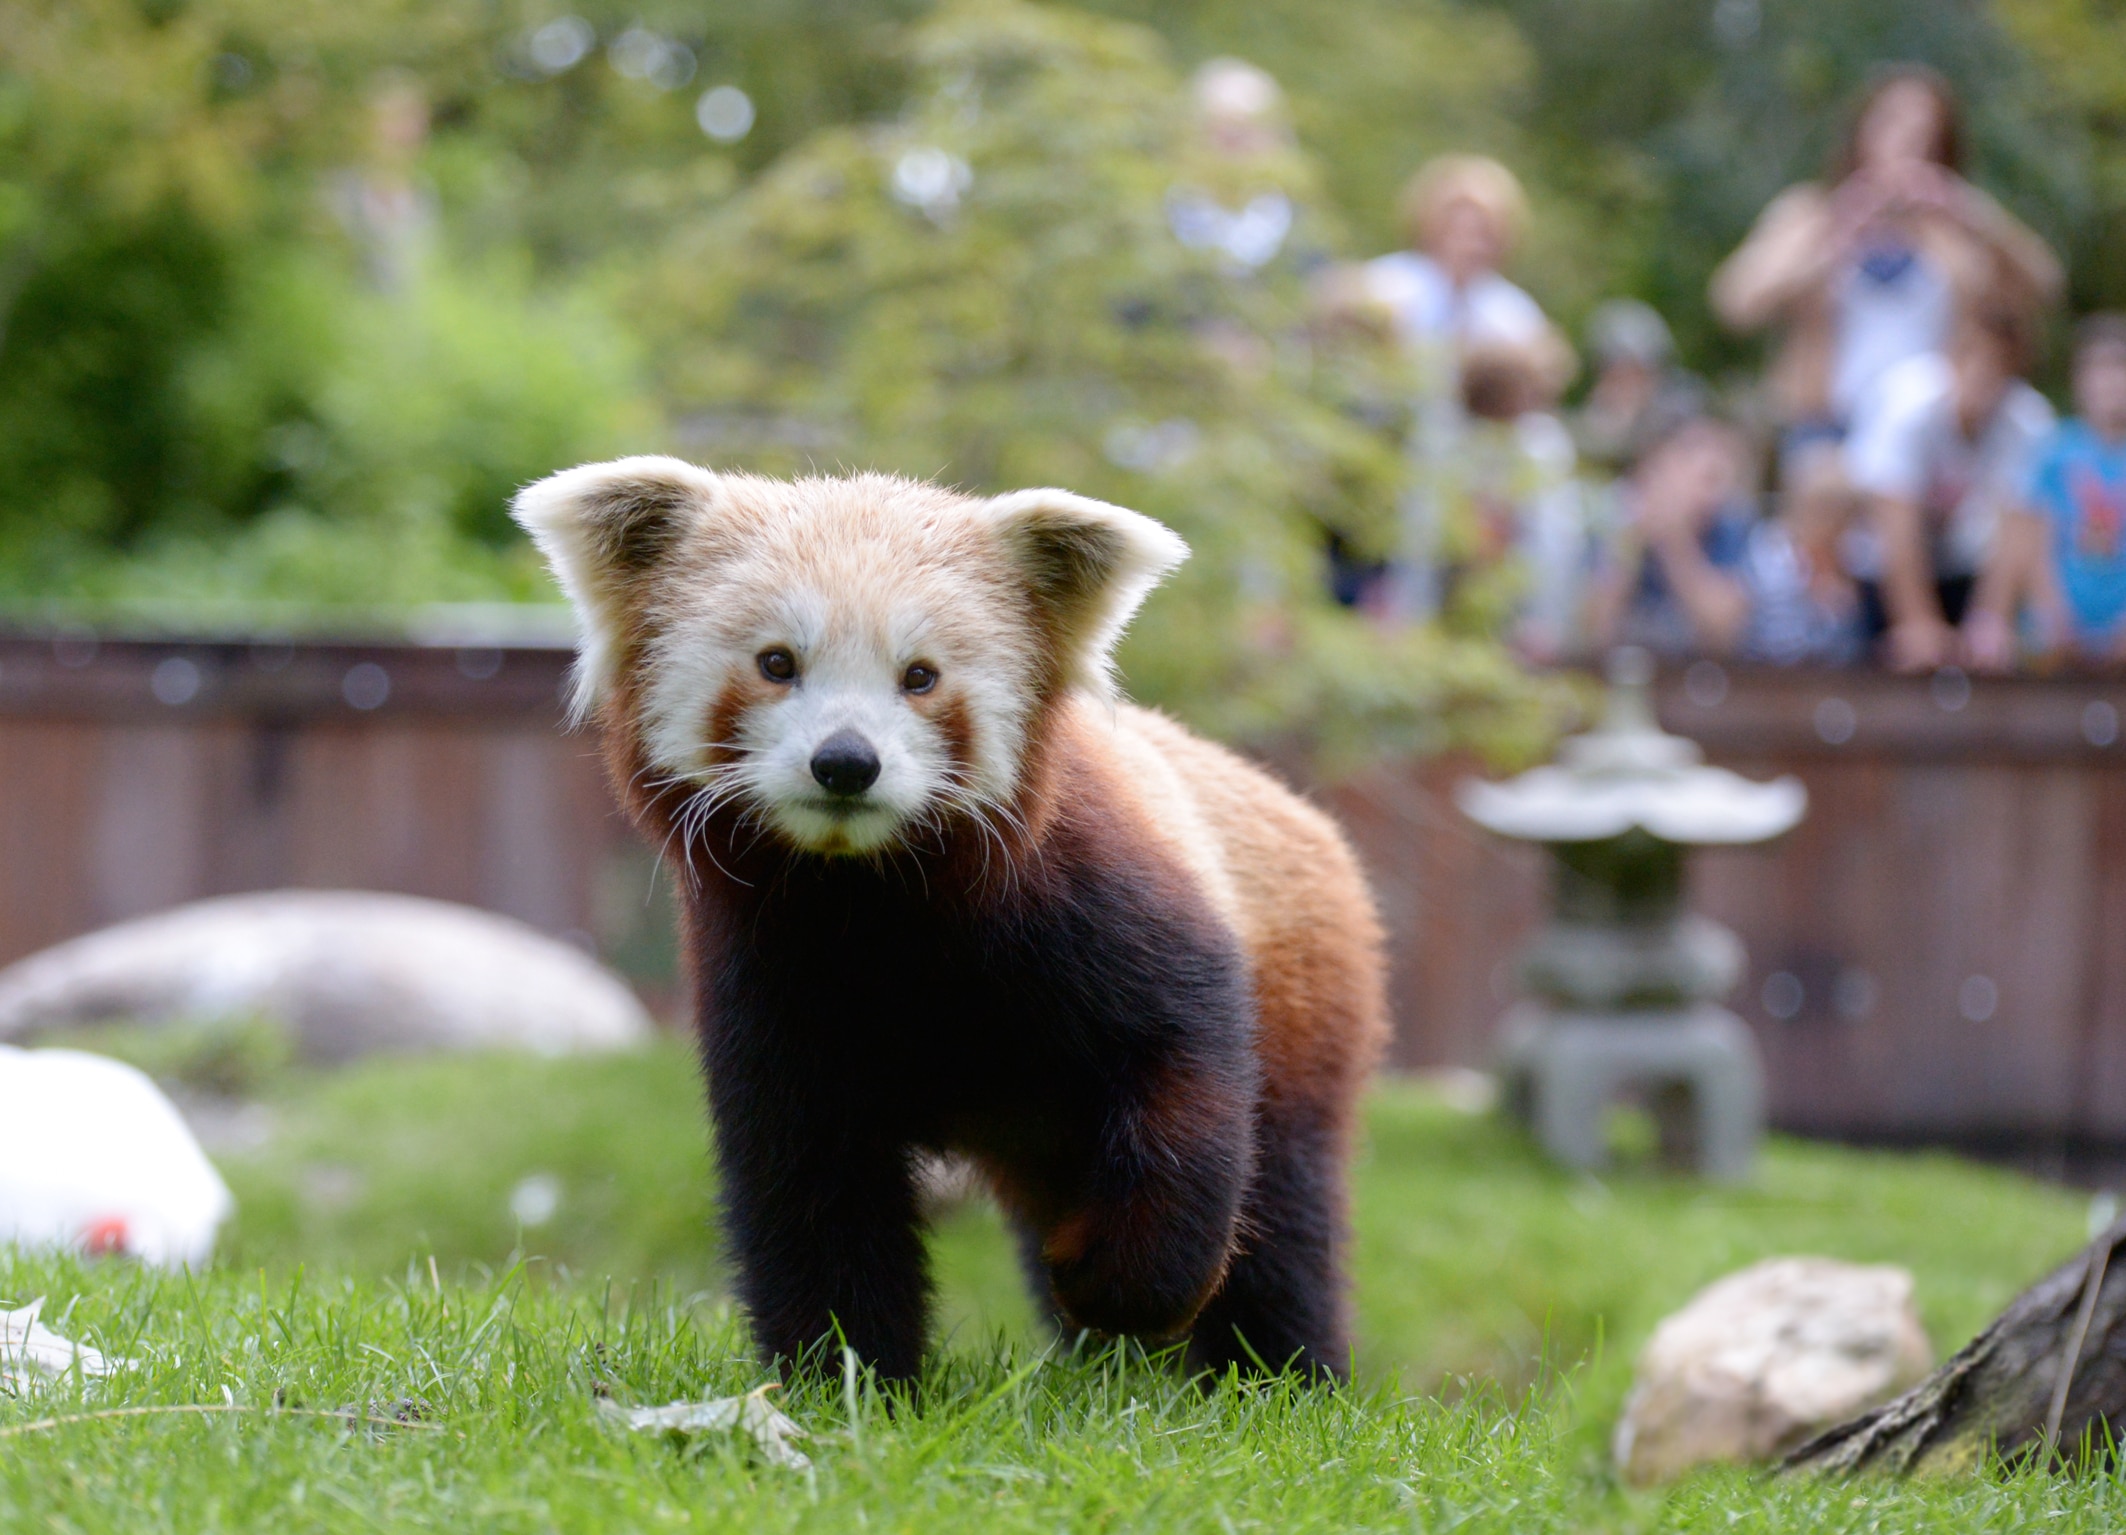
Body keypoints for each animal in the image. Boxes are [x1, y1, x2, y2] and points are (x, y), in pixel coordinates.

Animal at [515, 456, 1388, 1383]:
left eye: (920, 676)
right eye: (777, 662)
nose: (846, 761)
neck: (872, 898)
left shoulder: (1100, 908)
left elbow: (1187, 1073)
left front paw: (1120, 1284)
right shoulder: (770, 983)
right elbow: (813, 1190)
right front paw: (846, 1373)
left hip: (1308, 1013)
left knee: (1286, 1223)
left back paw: (1278, 1376)